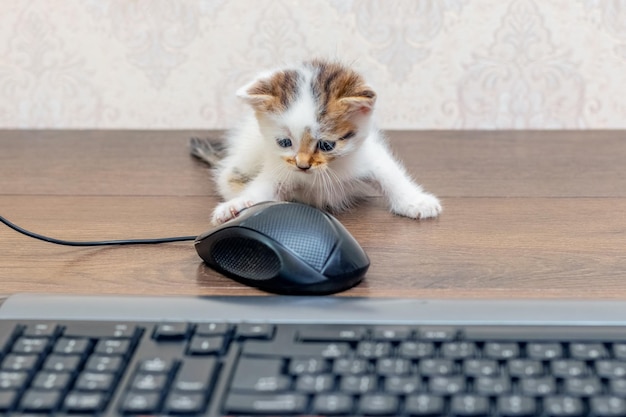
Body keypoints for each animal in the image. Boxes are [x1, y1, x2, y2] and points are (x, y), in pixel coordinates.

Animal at [193, 58, 442, 224]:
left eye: (326, 145)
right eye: (284, 142)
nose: (303, 165)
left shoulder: (366, 154)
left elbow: (389, 174)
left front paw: (416, 202)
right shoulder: (279, 169)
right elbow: (261, 188)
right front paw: (236, 207)